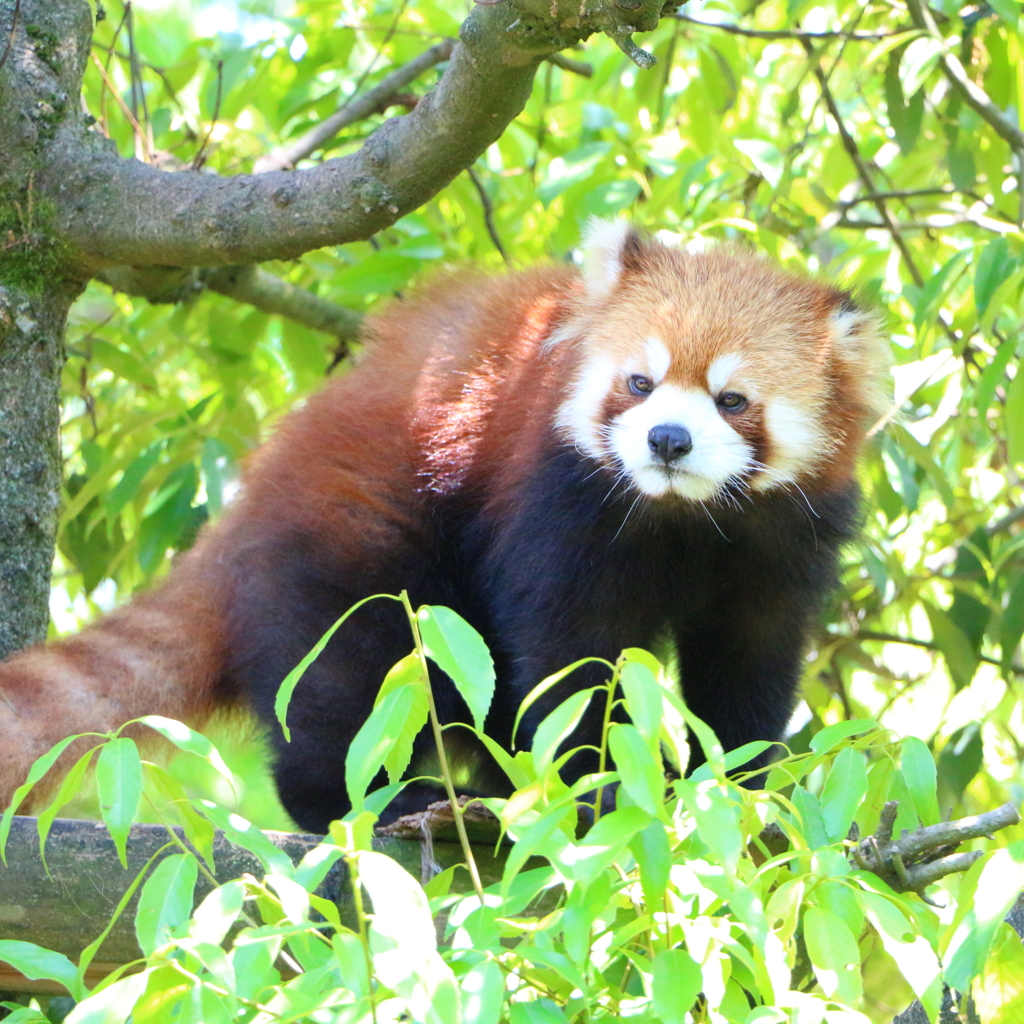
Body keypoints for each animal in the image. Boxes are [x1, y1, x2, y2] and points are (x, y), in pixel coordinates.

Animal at [0, 224, 884, 831]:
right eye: (640, 382)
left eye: (732, 400)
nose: (667, 440)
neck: (681, 516)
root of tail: (251, 506)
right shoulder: (559, 500)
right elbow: (569, 652)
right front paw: (595, 783)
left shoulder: (781, 541)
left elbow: (748, 659)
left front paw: (736, 785)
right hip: (358, 535)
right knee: (341, 674)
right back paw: (365, 798)